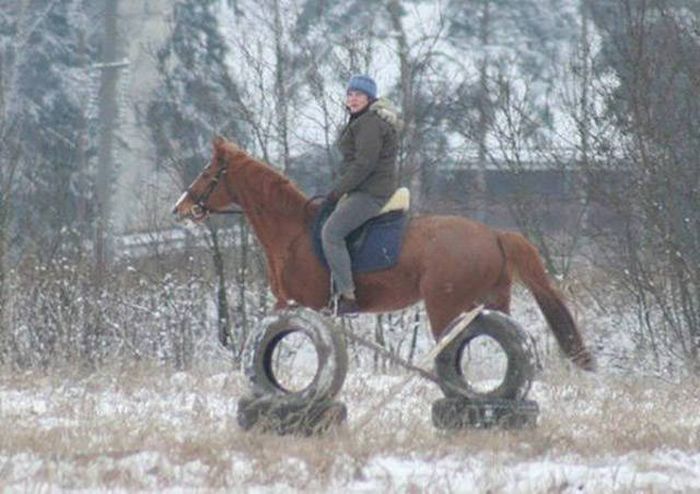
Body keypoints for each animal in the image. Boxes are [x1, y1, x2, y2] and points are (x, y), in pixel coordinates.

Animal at [172, 136, 592, 370]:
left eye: (208, 173)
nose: (180, 208)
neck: (292, 231)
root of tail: (493, 233)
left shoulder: (297, 305)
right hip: (489, 303)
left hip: (445, 306)